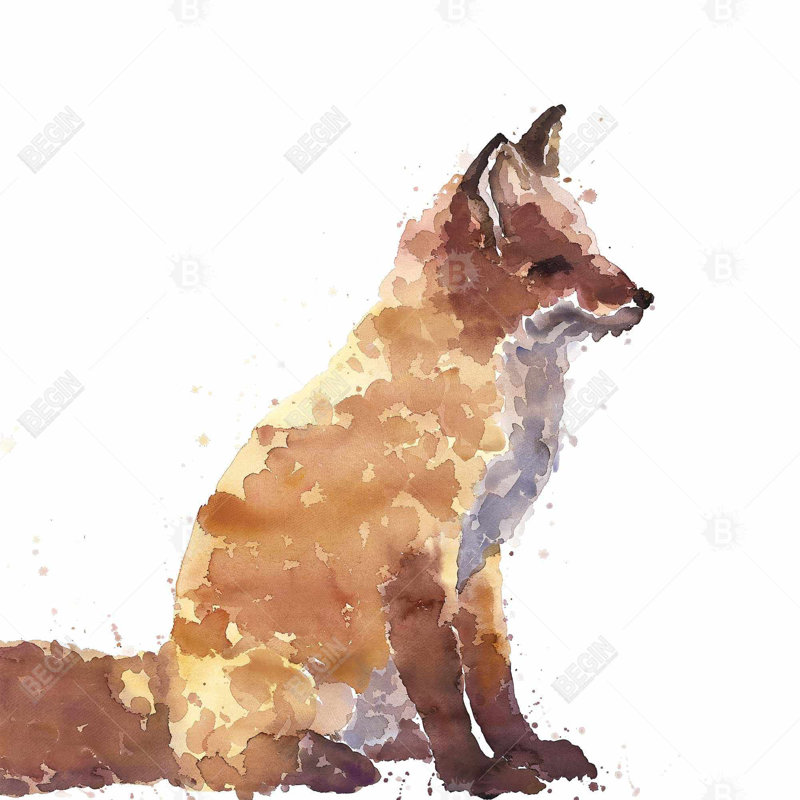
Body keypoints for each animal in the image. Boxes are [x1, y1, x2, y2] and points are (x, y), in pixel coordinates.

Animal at [0, 105, 652, 799]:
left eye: (592, 246)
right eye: (553, 265)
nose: (644, 297)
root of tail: (163, 690)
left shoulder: (483, 556)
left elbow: (493, 680)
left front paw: (526, 752)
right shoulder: (416, 569)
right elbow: (446, 695)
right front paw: (476, 775)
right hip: (289, 692)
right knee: (225, 769)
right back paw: (330, 765)